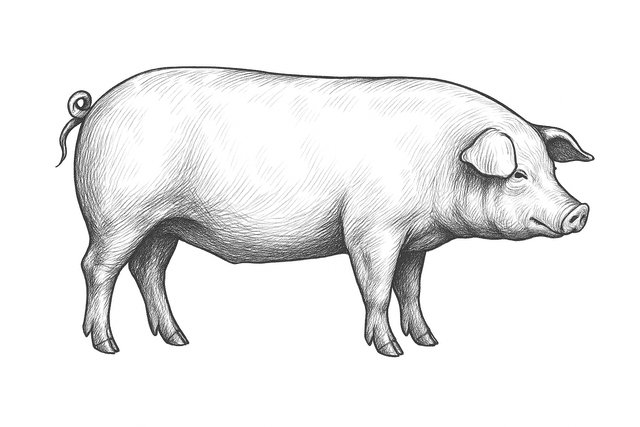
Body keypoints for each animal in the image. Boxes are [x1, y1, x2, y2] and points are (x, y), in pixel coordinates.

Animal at [57, 67, 593, 356]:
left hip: (164, 223)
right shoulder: (372, 230)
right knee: (97, 267)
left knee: (148, 271)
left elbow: (411, 289)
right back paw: (106, 345)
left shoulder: (414, 241)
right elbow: (376, 289)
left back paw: (178, 340)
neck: (440, 164)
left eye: (550, 169)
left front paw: (429, 342)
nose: (579, 210)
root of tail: (94, 107)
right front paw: (391, 351)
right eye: (517, 174)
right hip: (118, 215)